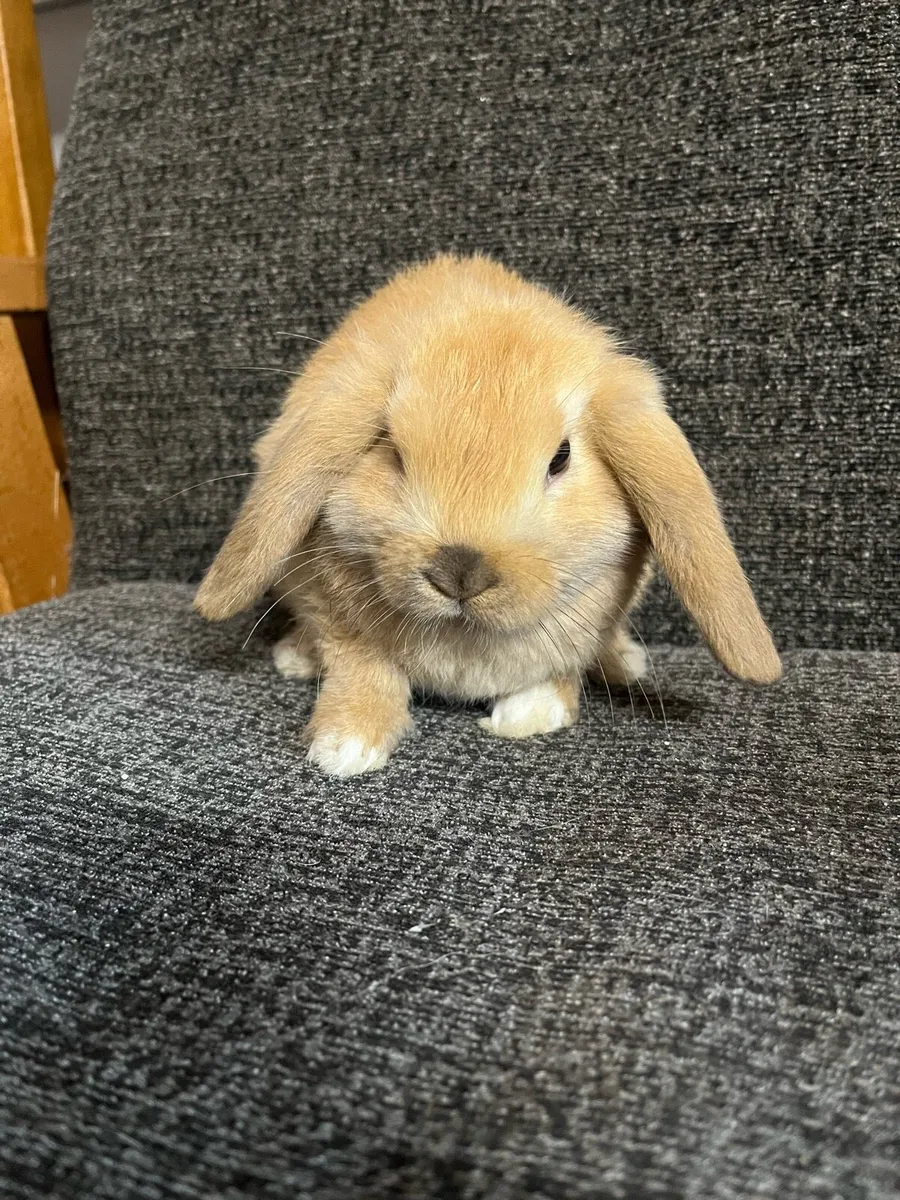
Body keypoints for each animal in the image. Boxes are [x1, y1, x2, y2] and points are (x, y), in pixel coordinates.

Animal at [195, 254, 781, 776]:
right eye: (392, 451)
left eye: (561, 458)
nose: (460, 569)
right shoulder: (337, 620)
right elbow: (362, 669)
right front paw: (346, 747)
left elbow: (561, 669)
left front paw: (529, 715)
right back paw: (295, 658)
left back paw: (624, 662)